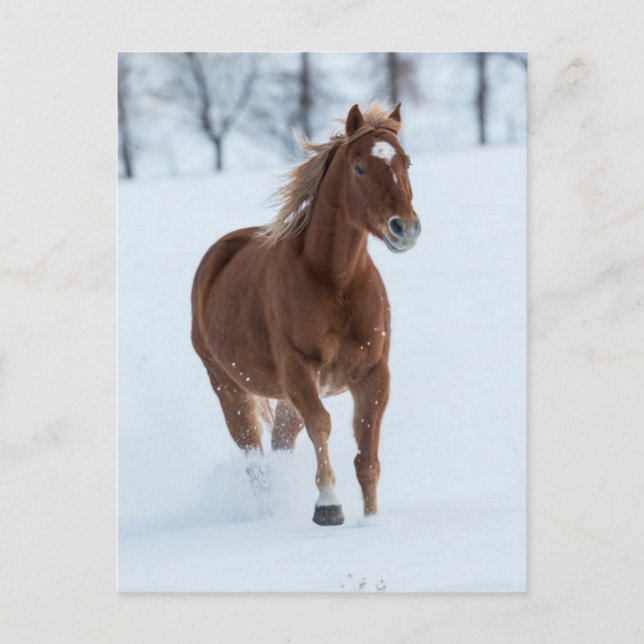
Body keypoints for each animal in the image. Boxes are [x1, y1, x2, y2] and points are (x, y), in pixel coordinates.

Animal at [191, 103, 421, 526]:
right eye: (359, 168)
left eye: (406, 162)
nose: (405, 229)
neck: (335, 279)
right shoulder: (299, 367)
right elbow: (322, 425)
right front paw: (328, 507)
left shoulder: (373, 374)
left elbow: (367, 458)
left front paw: (371, 521)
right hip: (230, 389)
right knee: (254, 458)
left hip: (284, 398)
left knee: (280, 444)